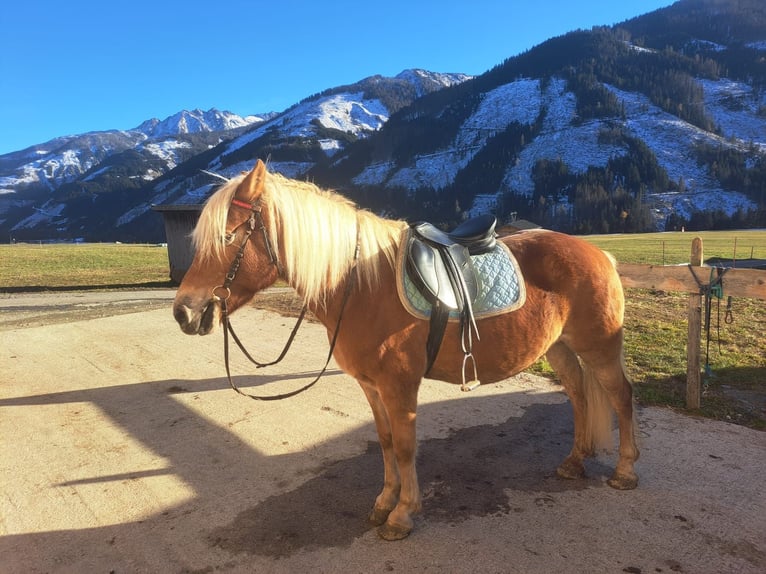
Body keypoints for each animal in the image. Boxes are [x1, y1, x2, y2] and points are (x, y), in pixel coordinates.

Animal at [174, 160, 640, 544]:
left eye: (227, 236)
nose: (183, 312)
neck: (359, 284)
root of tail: (599, 252)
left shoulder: (399, 386)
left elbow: (403, 446)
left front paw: (402, 515)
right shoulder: (371, 386)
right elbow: (383, 442)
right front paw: (384, 501)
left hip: (599, 347)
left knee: (620, 396)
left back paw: (625, 471)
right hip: (559, 348)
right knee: (579, 396)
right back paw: (574, 462)